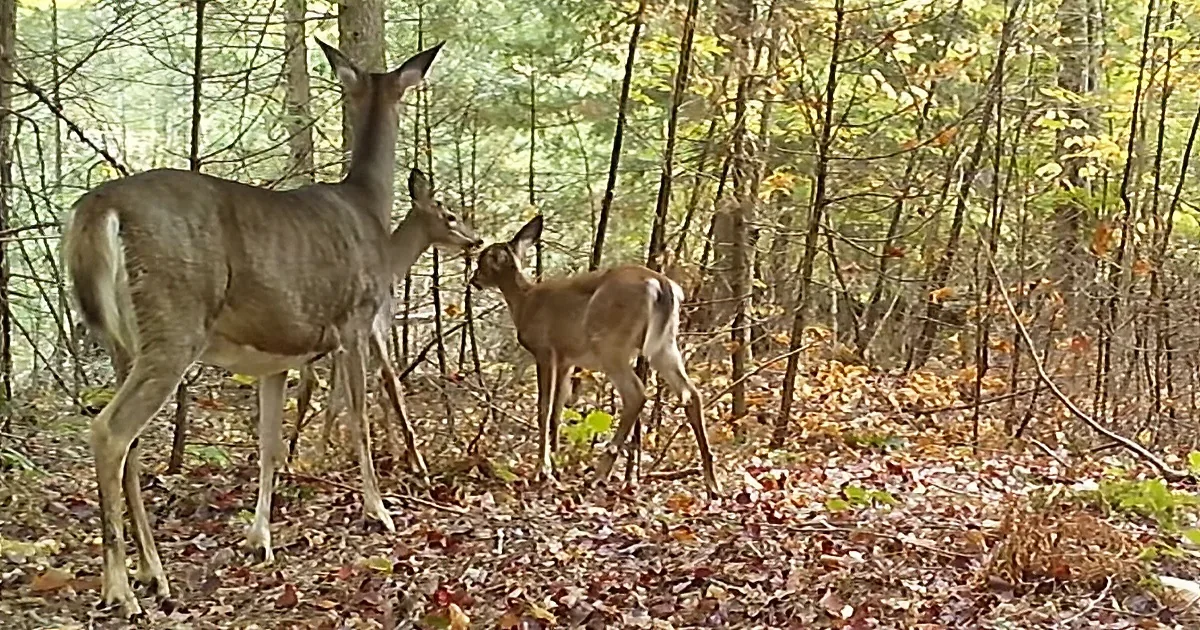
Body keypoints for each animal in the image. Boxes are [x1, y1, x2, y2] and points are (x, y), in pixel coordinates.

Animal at [61, 39, 478, 618]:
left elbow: (268, 443)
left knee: (131, 443)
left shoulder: (274, 359)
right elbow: (359, 419)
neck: (369, 212)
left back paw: (153, 575)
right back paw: (122, 589)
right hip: (174, 326)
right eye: (450, 214)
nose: (476, 241)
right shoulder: (354, 321)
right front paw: (379, 511)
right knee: (110, 431)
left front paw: (260, 537)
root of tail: (98, 207)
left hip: (122, 341)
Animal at [468, 216, 721, 497]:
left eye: (482, 261)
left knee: (637, 393)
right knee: (691, 394)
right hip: (664, 344)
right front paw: (556, 466)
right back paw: (712, 483)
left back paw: (600, 474)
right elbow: (557, 412)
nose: (474, 279)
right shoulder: (566, 359)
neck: (524, 302)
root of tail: (663, 285)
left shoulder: (545, 350)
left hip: (611, 342)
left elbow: (544, 410)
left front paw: (542, 470)